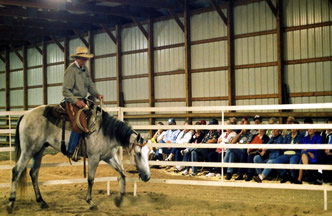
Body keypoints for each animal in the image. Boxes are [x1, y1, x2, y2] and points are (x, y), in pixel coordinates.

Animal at [6, 104, 150, 213]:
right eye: (138, 154)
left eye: (148, 152)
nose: (147, 177)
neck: (105, 131)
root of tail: (25, 115)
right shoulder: (93, 158)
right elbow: (91, 179)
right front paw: (91, 202)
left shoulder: (108, 157)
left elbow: (122, 173)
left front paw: (119, 200)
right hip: (28, 150)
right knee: (16, 171)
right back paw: (11, 204)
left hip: (38, 151)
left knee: (33, 173)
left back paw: (41, 201)